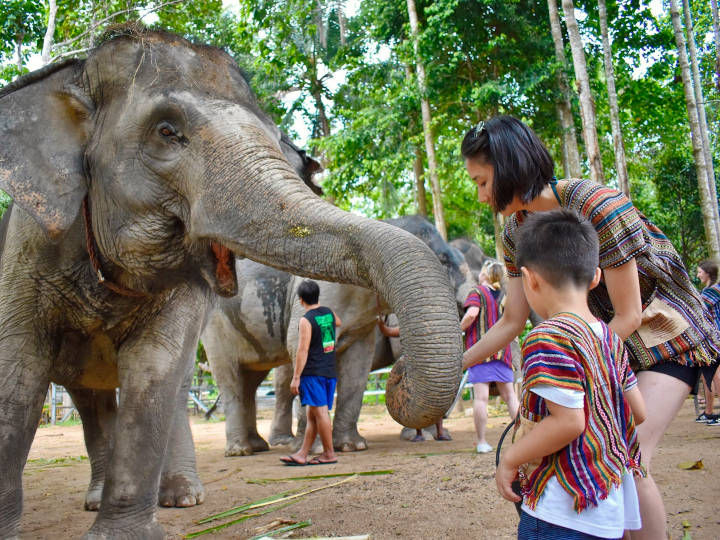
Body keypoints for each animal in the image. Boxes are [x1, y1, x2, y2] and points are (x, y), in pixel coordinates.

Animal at [200, 215, 476, 456]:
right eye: (443, 262)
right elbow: (299, 345)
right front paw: (314, 450)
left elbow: (358, 364)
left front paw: (352, 446)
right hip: (215, 327)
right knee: (232, 379)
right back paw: (243, 450)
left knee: (251, 380)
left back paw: (259, 446)